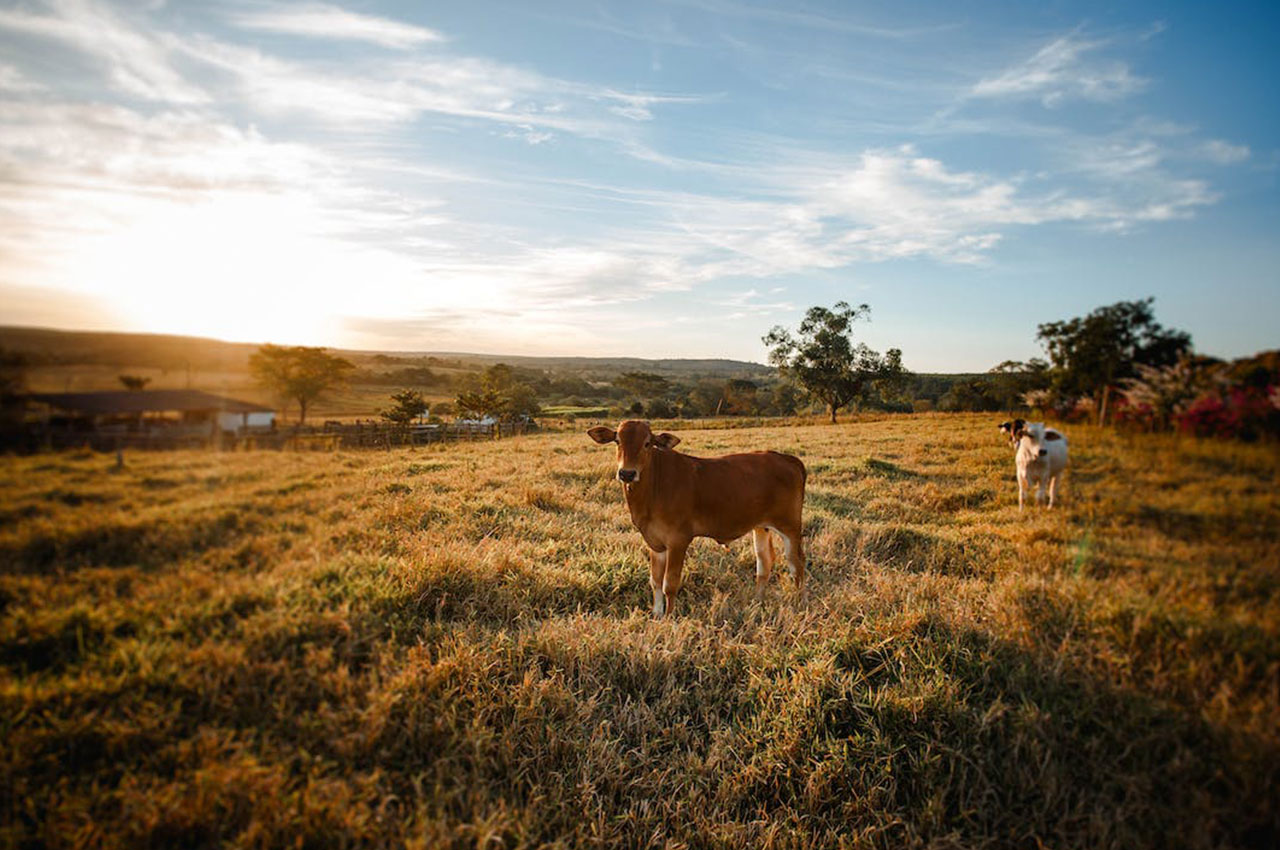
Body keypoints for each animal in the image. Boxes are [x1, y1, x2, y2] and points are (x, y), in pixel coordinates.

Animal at [586, 419, 803, 614]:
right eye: (617, 441)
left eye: (647, 443)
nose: (627, 473)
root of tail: (787, 459)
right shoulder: (655, 543)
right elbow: (655, 581)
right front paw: (657, 614)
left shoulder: (678, 540)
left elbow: (669, 584)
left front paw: (669, 618)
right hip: (761, 526)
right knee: (764, 563)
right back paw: (757, 602)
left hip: (790, 526)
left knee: (796, 564)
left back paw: (799, 602)